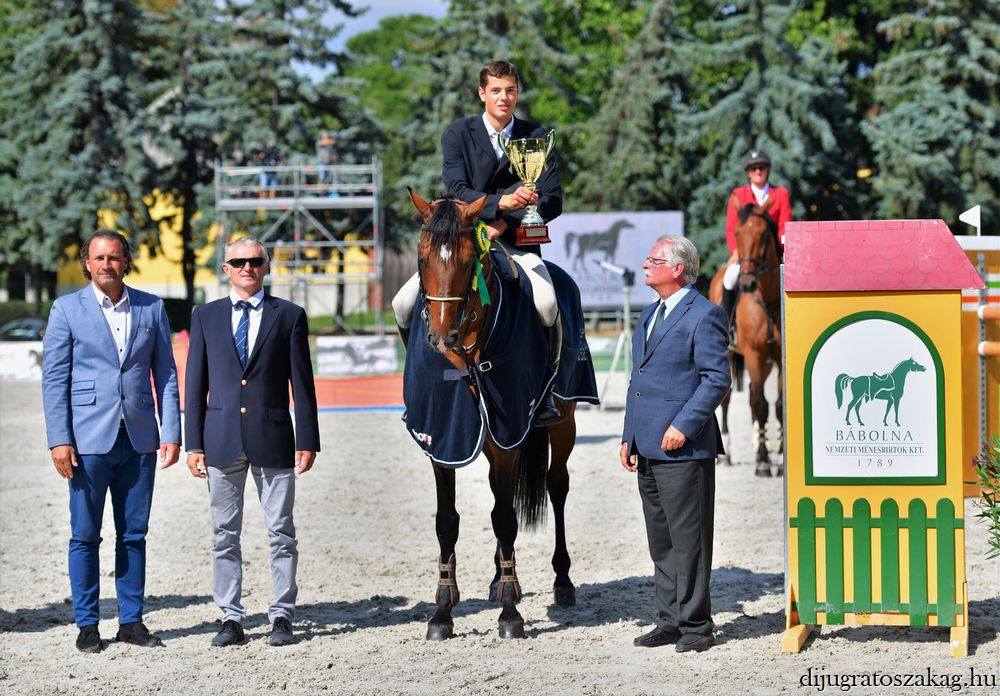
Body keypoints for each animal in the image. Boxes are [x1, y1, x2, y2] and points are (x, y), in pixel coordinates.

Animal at [406, 188, 580, 640]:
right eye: (421, 259)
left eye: (470, 261)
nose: (441, 337)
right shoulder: (442, 439)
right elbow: (447, 521)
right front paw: (442, 611)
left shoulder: (508, 437)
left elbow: (505, 516)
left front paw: (509, 615)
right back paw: (503, 581)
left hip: (563, 423)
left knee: (557, 486)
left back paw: (561, 581)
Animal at [708, 198, 784, 476]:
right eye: (738, 234)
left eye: (763, 234)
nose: (747, 284)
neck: (768, 298)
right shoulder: (754, 354)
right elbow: (761, 404)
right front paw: (762, 461)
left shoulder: (779, 357)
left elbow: (778, 406)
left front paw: (779, 457)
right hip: (732, 356)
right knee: (728, 399)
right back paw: (727, 453)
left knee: (751, 394)